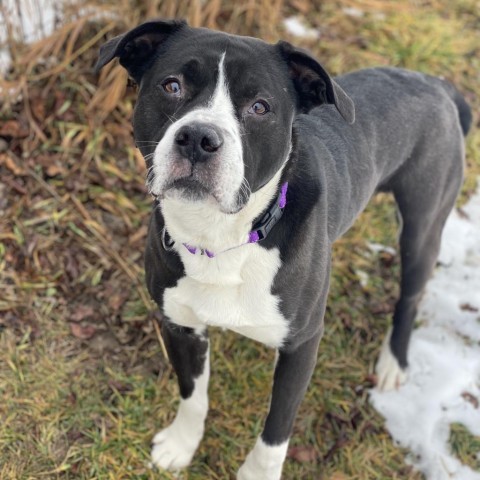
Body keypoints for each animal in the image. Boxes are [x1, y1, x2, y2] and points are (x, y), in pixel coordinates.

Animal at [95, 19, 470, 480]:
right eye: (171, 85)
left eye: (260, 107)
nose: (198, 137)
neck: (223, 238)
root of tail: (436, 83)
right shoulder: (179, 324)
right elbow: (192, 394)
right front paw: (181, 445)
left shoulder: (302, 344)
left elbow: (277, 425)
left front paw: (257, 472)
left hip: (422, 225)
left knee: (411, 293)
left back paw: (393, 364)